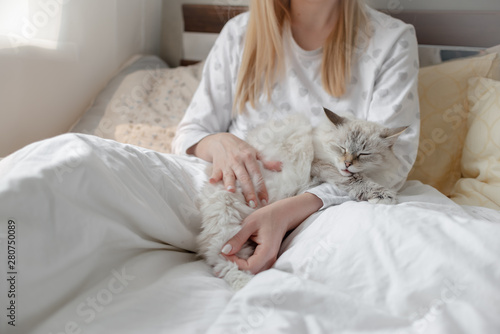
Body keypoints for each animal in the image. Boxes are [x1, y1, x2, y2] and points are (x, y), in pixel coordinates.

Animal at [195, 107, 406, 290]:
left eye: (364, 154)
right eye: (341, 148)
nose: (347, 164)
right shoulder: (321, 165)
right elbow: (356, 180)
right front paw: (384, 195)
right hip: (226, 223)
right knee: (220, 259)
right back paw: (246, 284)